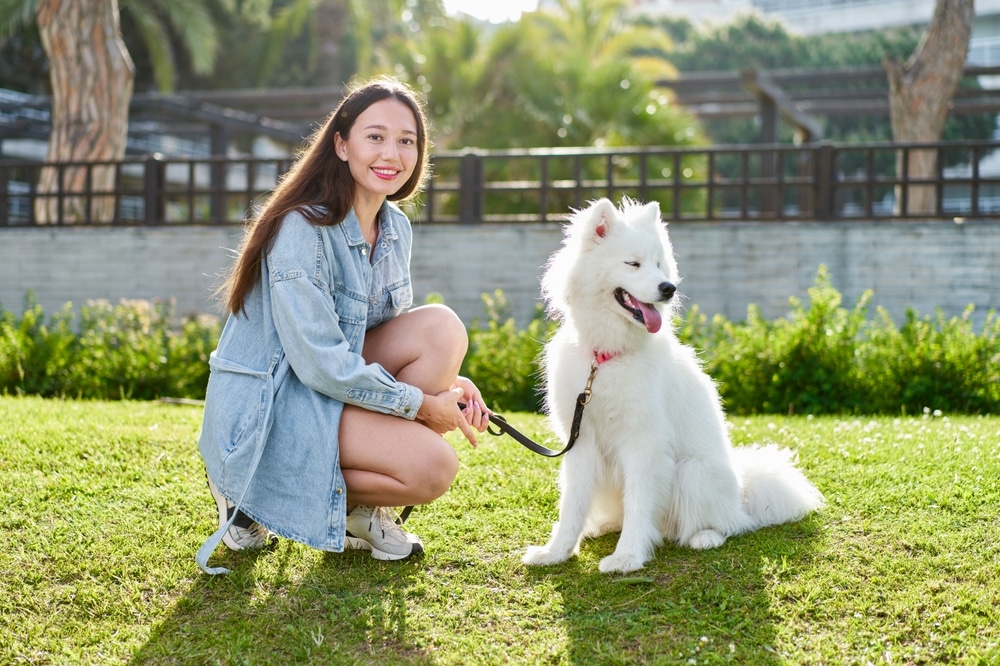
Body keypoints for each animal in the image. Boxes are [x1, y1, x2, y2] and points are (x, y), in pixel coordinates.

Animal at [520, 196, 824, 572]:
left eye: (660, 265)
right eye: (633, 263)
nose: (669, 288)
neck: (606, 359)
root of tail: (742, 493)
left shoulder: (644, 442)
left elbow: (639, 505)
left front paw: (627, 557)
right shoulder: (581, 441)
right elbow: (572, 506)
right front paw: (556, 553)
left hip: (692, 473)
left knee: (729, 524)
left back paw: (704, 537)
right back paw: (603, 525)